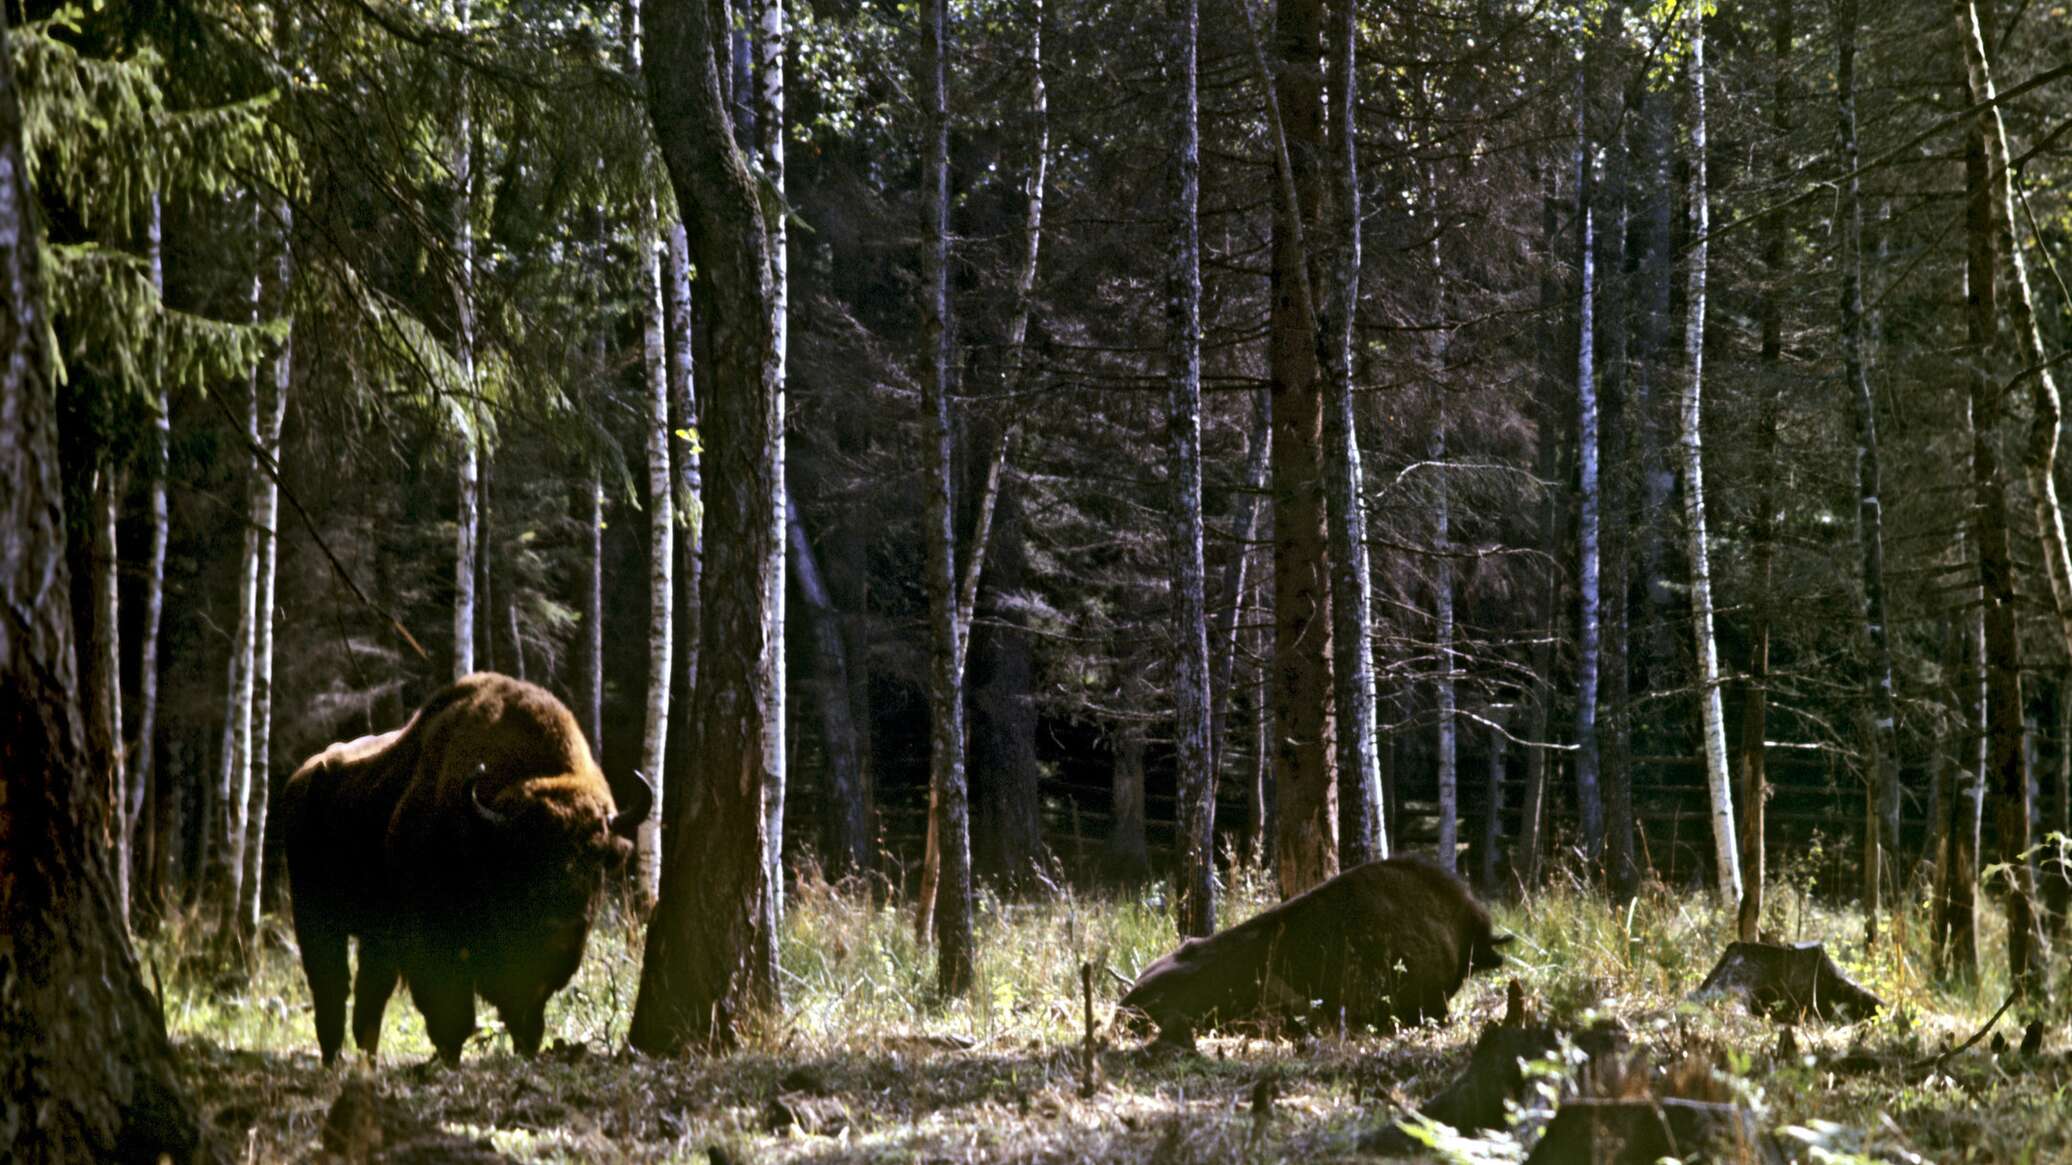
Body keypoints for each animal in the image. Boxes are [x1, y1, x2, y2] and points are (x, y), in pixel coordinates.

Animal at [277, 671, 646, 1061]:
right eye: (527, 858)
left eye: (596, 857)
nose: (565, 924)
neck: (486, 833)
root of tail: (300, 778)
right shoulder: (436, 949)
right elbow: (454, 1019)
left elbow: (525, 1017)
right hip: (315, 921)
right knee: (331, 992)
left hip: (375, 937)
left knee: (369, 1000)